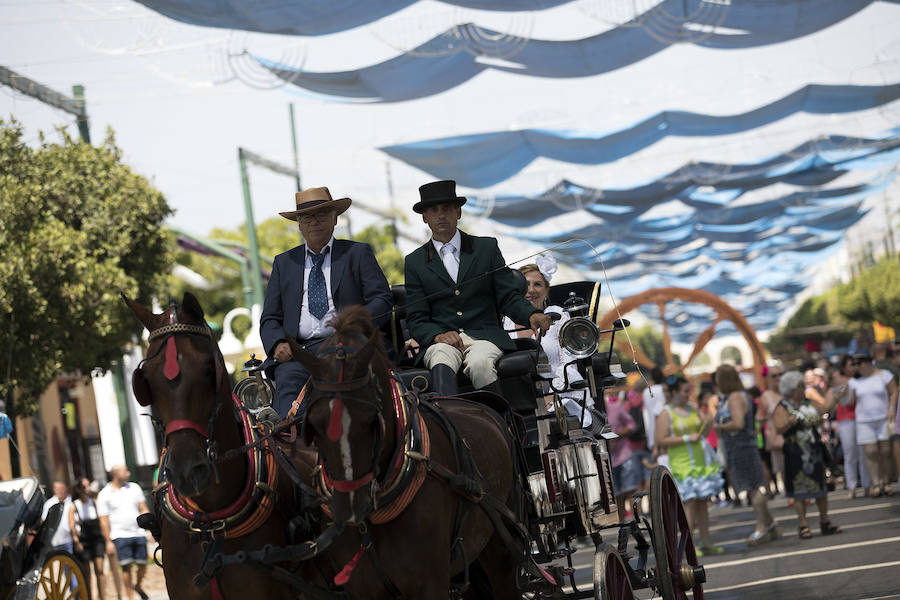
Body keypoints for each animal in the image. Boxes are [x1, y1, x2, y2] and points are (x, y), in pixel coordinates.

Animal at [288, 308, 528, 596]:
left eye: (371, 419)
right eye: (314, 424)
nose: (349, 510)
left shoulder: (431, 582)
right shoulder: (361, 589)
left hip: (502, 546)